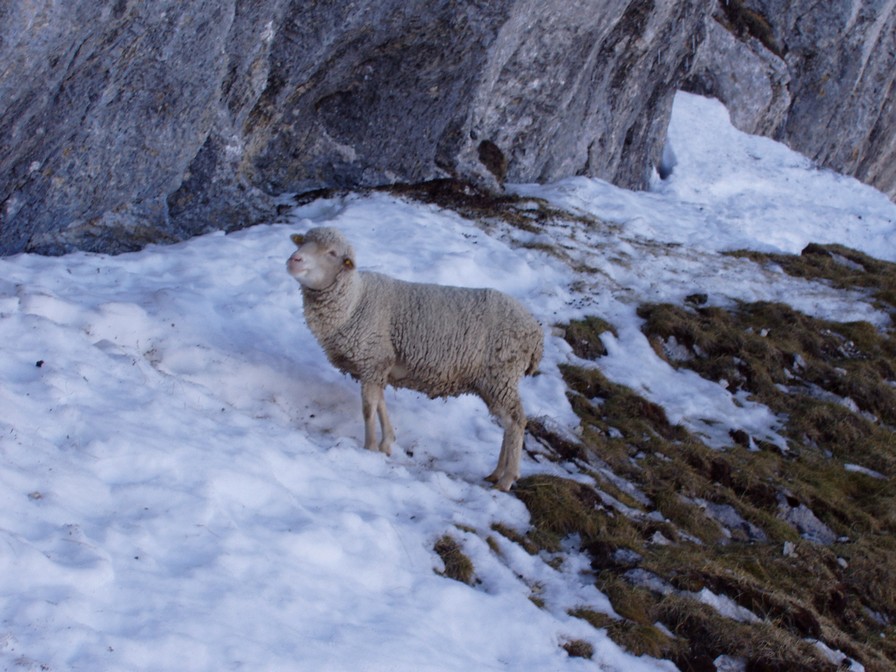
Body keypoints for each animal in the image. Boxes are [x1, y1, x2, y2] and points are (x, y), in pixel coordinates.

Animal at [286, 226, 543, 491]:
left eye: (332, 253)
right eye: (302, 242)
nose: (294, 260)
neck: (353, 303)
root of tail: (535, 332)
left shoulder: (372, 360)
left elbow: (368, 408)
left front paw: (369, 448)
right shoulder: (378, 366)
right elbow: (380, 404)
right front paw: (387, 442)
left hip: (501, 375)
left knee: (516, 422)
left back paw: (507, 478)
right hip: (492, 382)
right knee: (508, 423)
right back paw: (496, 473)